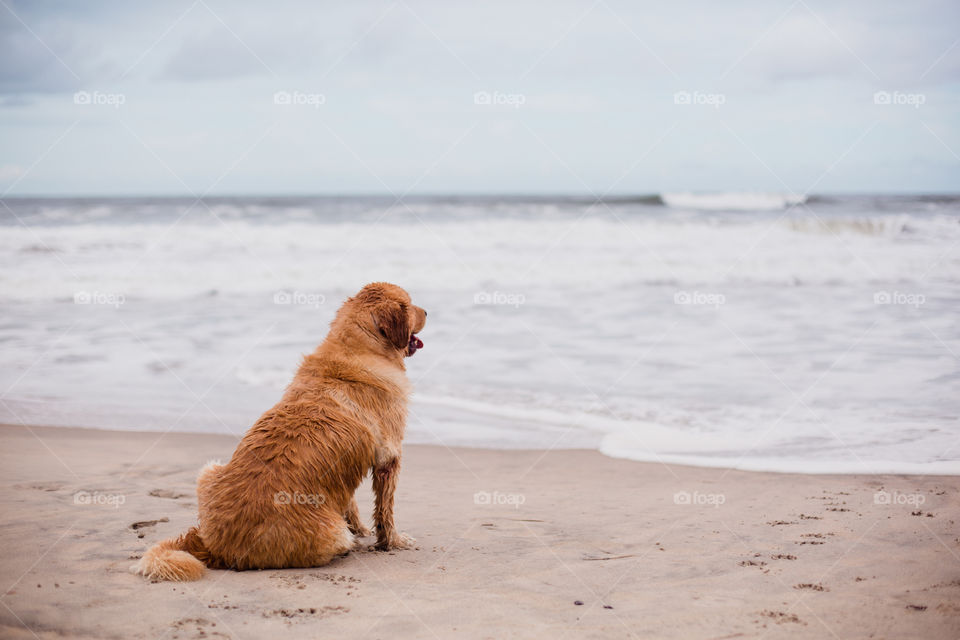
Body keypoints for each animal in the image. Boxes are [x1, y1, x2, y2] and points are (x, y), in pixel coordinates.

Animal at [132, 282, 428, 584]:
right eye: (409, 304)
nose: (427, 311)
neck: (359, 347)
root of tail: (212, 544)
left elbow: (350, 502)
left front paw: (361, 529)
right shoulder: (389, 457)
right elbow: (385, 511)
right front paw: (393, 541)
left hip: (208, 471)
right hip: (332, 533)